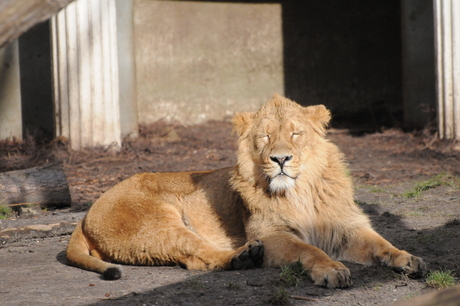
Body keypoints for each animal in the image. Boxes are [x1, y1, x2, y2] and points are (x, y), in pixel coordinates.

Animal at [66, 94, 426, 288]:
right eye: (265, 137)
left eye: (295, 133)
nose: (280, 159)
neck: (300, 192)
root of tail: (85, 215)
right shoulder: (271, 234)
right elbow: (310, 250)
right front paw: (332, 270)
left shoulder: (345, 226)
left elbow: (381, 244)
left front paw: (408, 259)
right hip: (159, 222)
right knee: (198, 257)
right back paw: (245, 257)